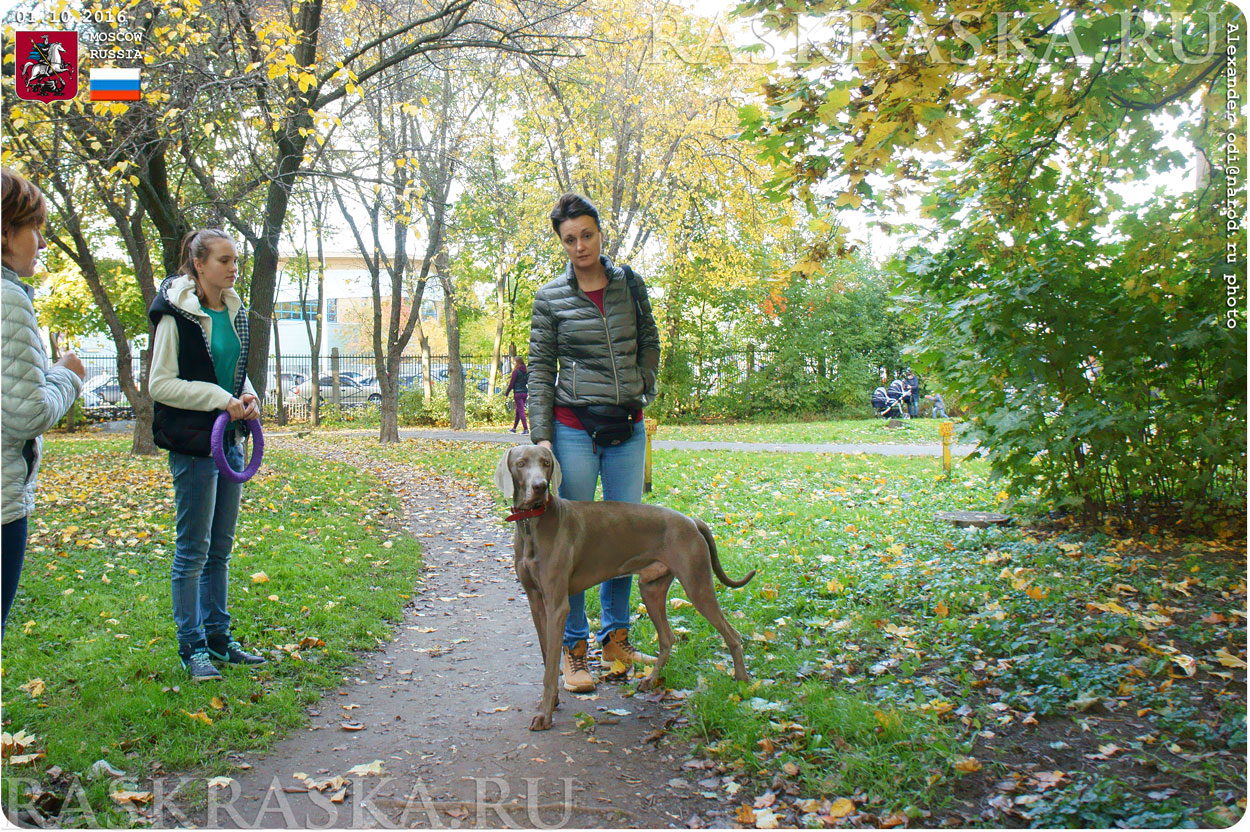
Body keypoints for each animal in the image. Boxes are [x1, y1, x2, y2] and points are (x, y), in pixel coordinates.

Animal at [495, 444, 750, 729]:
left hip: (697, 584)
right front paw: (551, 703)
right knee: (668, 638)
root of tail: (692, 521)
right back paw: (650, 680)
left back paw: (742, 683)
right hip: (651, 589)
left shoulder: (557, 605)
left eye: (546, 463)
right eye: (521, 463)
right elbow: (546, 656)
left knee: (732, 634)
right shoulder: (536, 602)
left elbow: (550, 667)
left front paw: (545, 715)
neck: (531, 524)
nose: (539, 486)